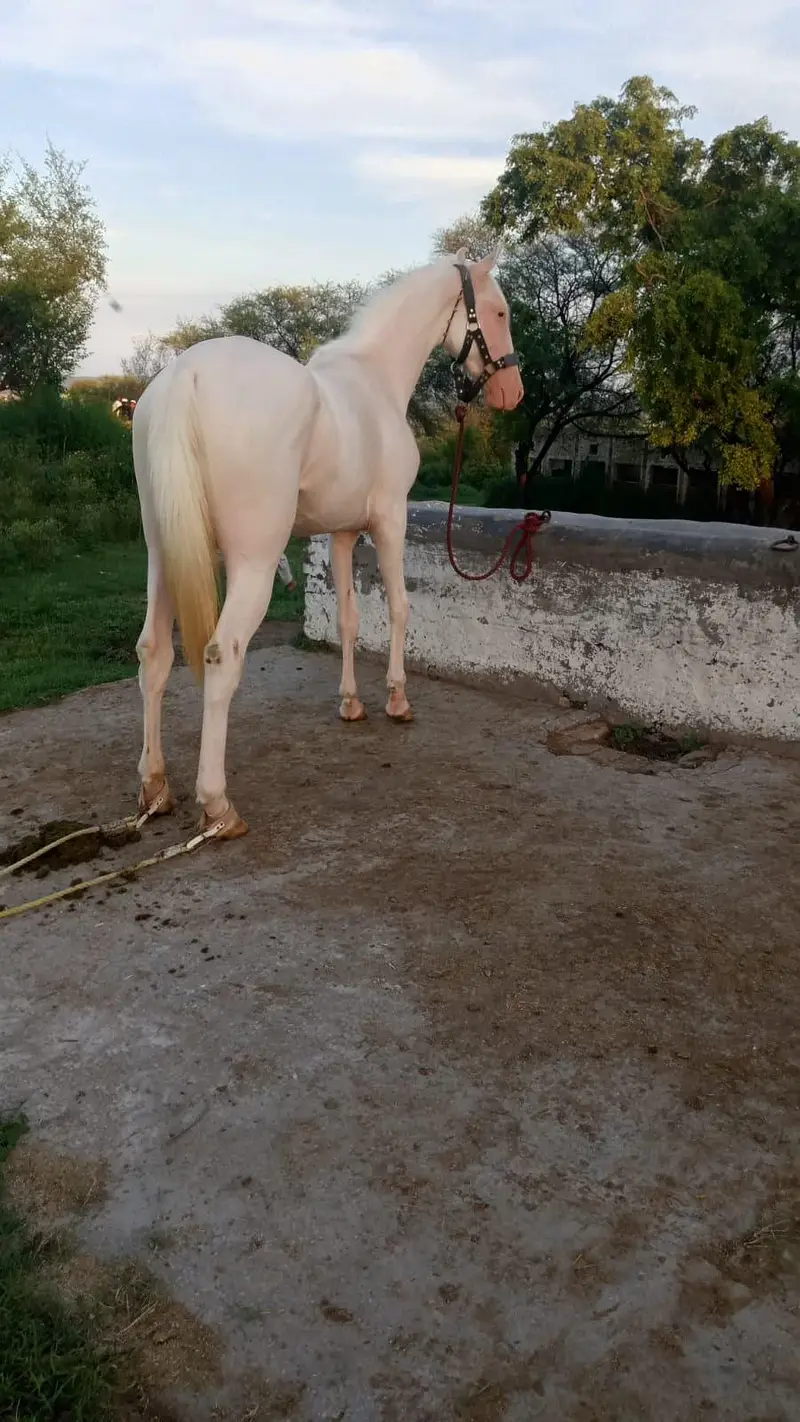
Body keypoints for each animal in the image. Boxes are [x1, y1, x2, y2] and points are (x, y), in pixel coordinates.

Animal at [131, 246, 523, 840]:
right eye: (499, 313)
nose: (512, 392)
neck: (375, 380)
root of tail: (185, 374)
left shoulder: (341, 533)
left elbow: (347, 619)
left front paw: (351, 703)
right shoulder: (389, 521)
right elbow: (399, 607)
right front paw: (397, 699)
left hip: (163, 555)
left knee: (153, 653)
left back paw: (156, 787)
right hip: (252, 562)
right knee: (223, 658)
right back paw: (218, 806)